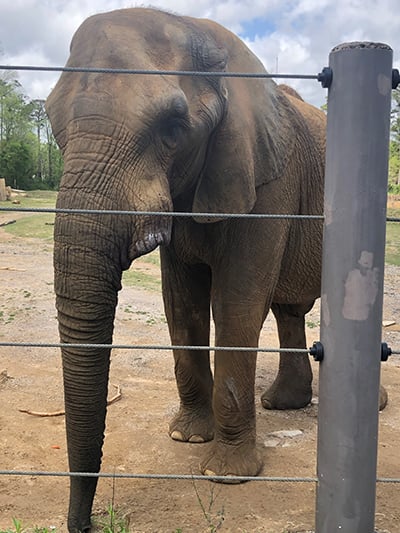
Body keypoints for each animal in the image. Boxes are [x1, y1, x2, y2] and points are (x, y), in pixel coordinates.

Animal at [46, 6, 332, 528]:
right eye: (54, 125)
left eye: (173, 130)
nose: (84, 524)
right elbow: (181, 303)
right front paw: (187, 437)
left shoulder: (268, 182)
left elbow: (237, 302)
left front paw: (226, 475)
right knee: (288, 311)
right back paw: (282, 403)